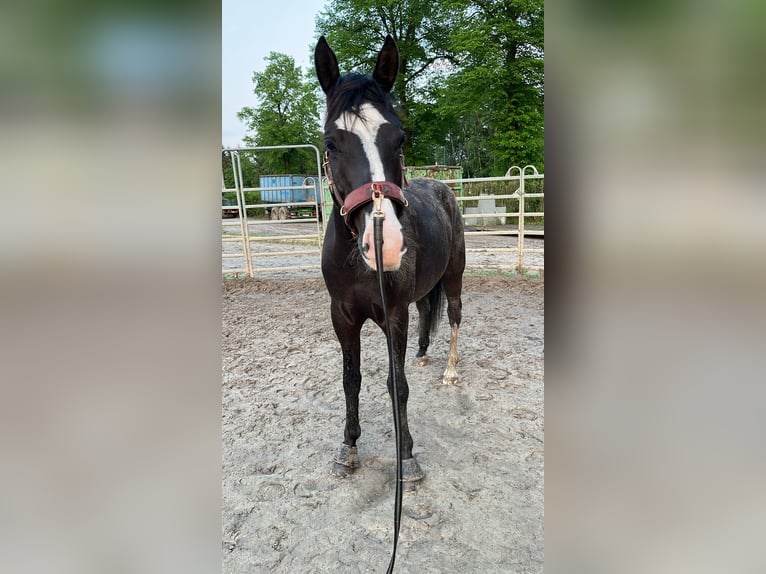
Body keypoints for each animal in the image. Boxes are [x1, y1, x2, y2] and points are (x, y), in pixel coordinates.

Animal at [314, 35, 468, 486]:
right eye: (331, 143)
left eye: (399, 139)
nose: (384, 244)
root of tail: (442, 185)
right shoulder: (342, 316)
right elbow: (351, 380)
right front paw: (348, 448)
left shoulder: (392, 314)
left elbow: (396, 384)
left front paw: (408, 456)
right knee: (428, 311)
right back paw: (422, 353)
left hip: (455, 275)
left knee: (454, 315)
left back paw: (450, 371)